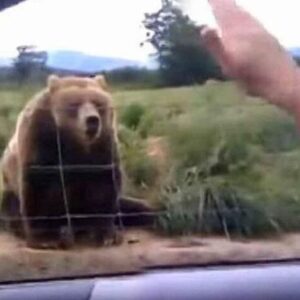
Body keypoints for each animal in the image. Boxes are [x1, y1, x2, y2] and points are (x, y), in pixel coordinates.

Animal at [0, 74, 155, 248]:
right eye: (74, 104)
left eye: (97, 103)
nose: (92, 120)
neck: (76, 142)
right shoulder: (41, 141)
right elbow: (40, 187)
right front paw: (47, 238)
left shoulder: (102, 147)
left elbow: (103, 187)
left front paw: (107, 234)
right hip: (9, 189)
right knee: (13, 210)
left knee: (135, 206)